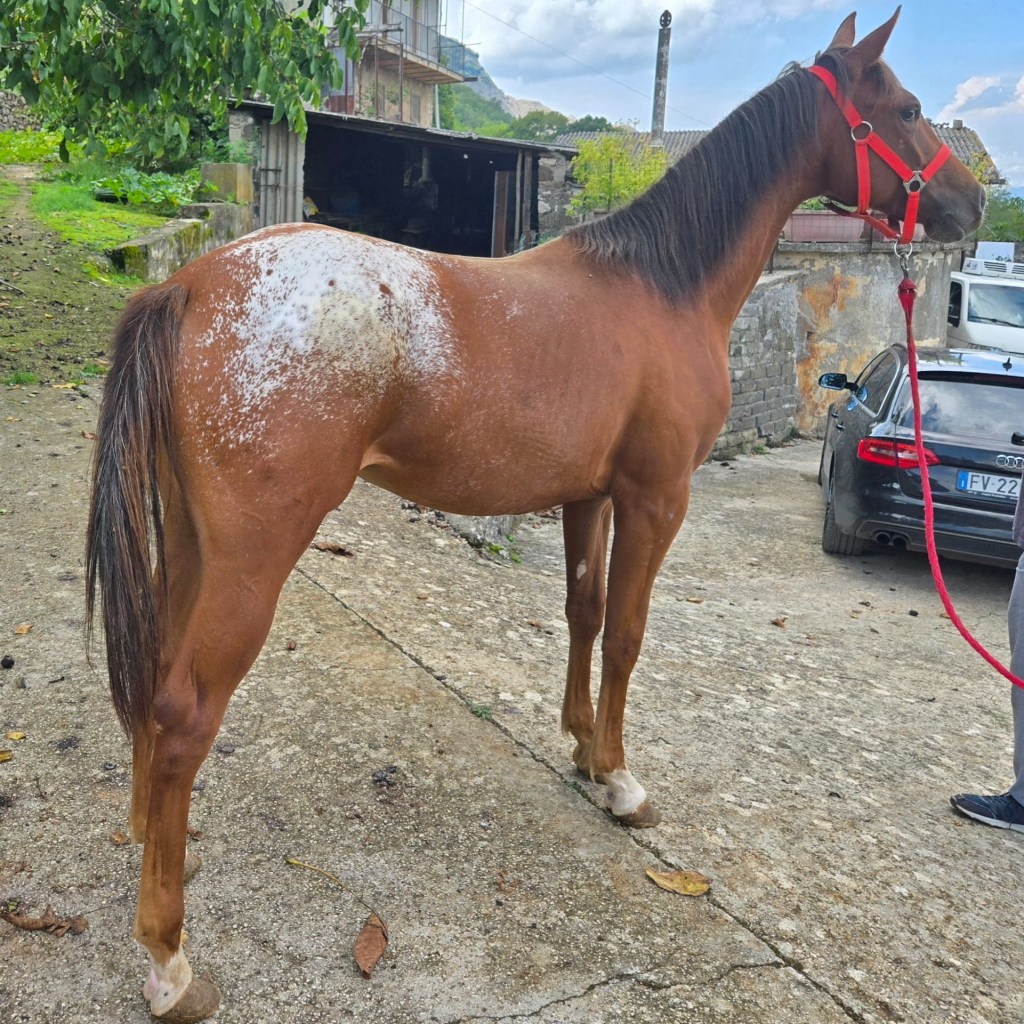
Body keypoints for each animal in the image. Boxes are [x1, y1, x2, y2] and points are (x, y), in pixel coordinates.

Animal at [86, 10, 983, 1020]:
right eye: (905, 109)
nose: (973, 207)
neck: (662, 286)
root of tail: (188, 285)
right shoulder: (655, 500)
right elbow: (627, 634)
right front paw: (623, 783)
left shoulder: (589, 497)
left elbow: (583, 614)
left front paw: (584, 749)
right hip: (251, 560)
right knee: (183, 714)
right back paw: (169, 958)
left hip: (191, 544)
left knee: (153, 689)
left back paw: (154, 851)